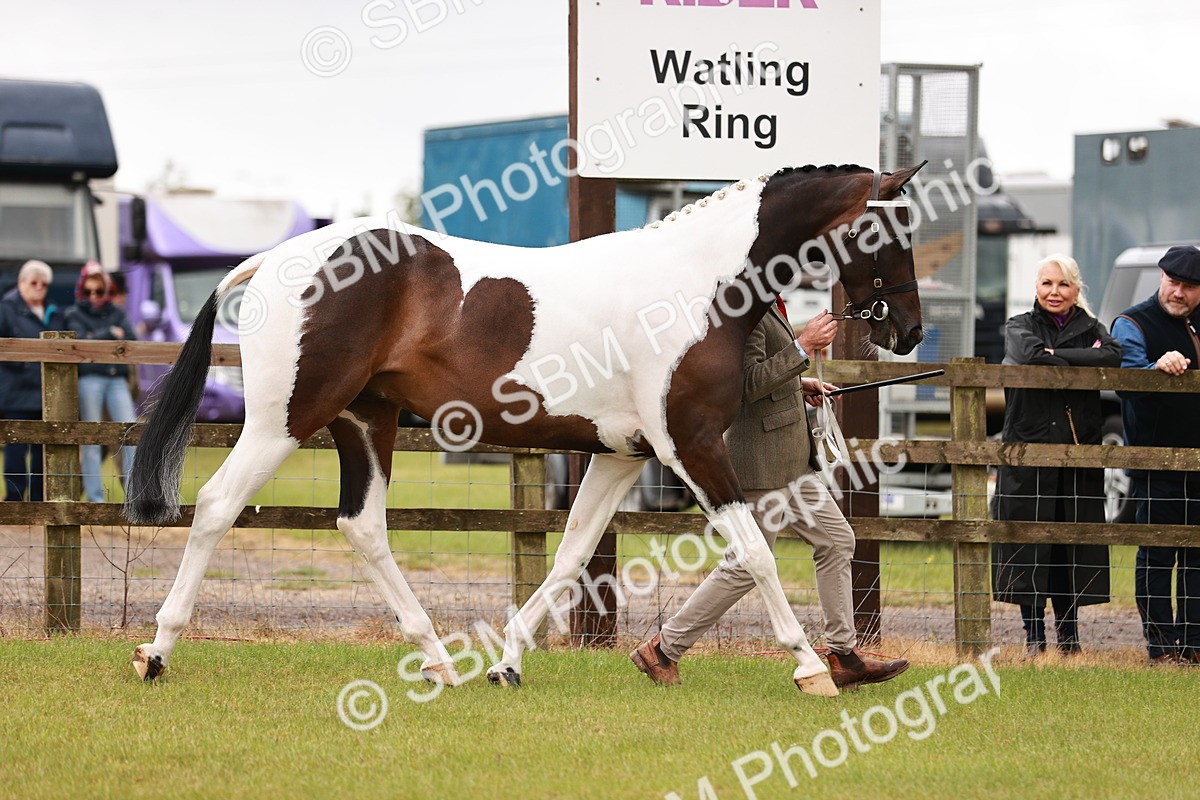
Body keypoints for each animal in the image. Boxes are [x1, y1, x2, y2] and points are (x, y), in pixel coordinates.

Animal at [125, 162, 926, 696]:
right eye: (890, 227)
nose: (911, 331)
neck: (695, 287)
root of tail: (273, 260)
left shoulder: (622, 456)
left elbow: (570, 556)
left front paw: (508, 662)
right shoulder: (690, 446)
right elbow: (756, 554)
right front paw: (812, 667)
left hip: (365, 421)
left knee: (362, 525)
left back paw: (440, 660)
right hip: (285, 420)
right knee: (217, 506)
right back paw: (156, 653)